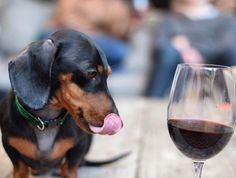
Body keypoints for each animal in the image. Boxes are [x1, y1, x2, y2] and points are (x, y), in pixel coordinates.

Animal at [0, 29, 122, 178]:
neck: (47, 122)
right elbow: (20, 169)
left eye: (108, 74)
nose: (119, 121)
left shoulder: (78, 147)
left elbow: (69, 168)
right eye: (91, 73)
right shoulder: (9, 146)